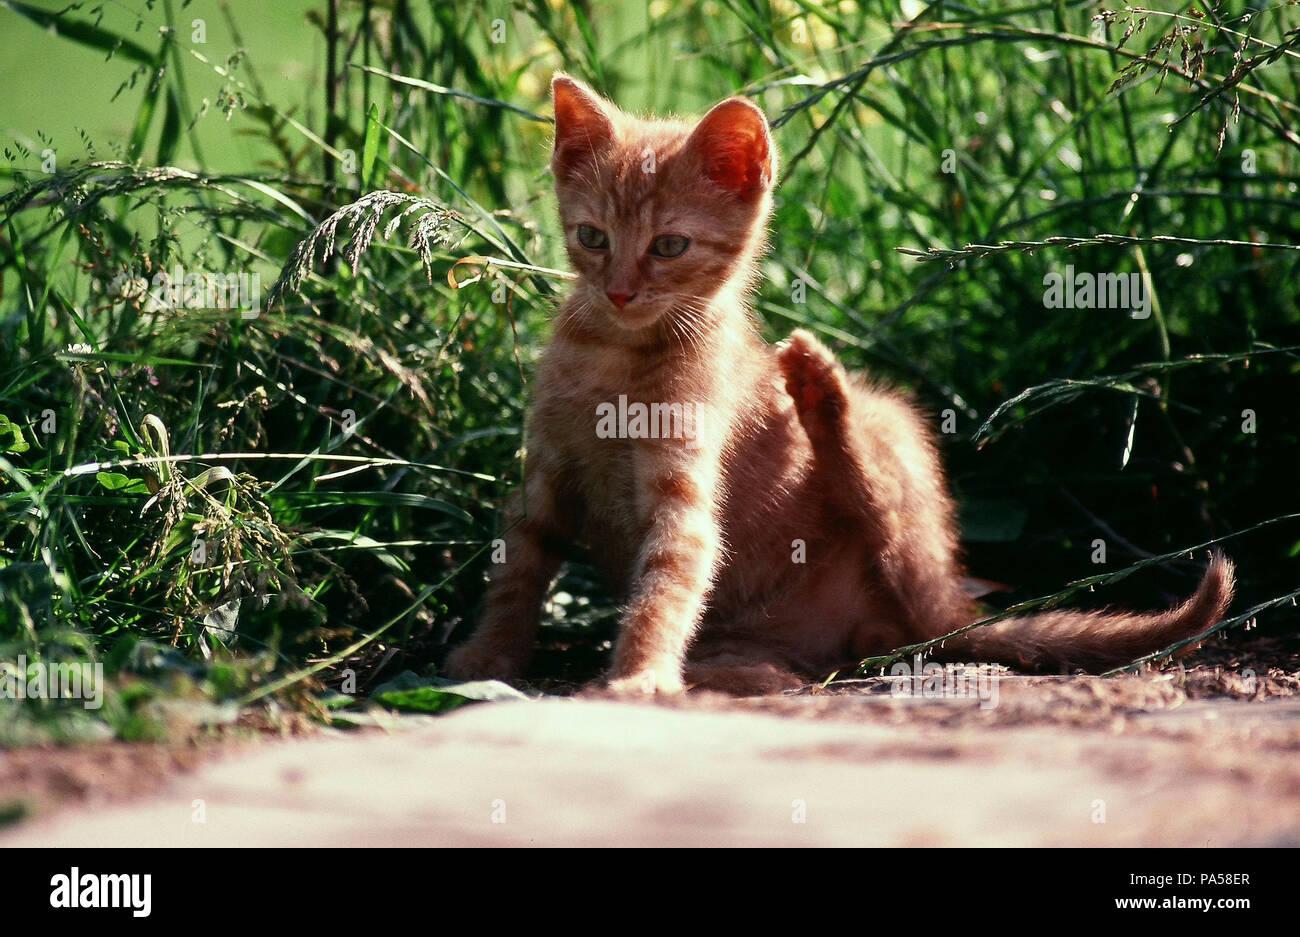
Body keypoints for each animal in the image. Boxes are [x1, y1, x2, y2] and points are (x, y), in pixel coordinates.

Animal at [441, 75, 1232, 696]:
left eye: (669, 246)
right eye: (593, 237)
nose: (621, 292)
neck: (617, 353)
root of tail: (940, 613)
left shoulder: (682, 482)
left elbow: (668, 575)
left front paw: (639, 673)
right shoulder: (545, 474)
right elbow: (518, 569)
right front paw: (486, 656)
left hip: (899, 462)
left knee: (885, 520)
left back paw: (821, 392)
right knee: (792, 662)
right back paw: (749, 668)